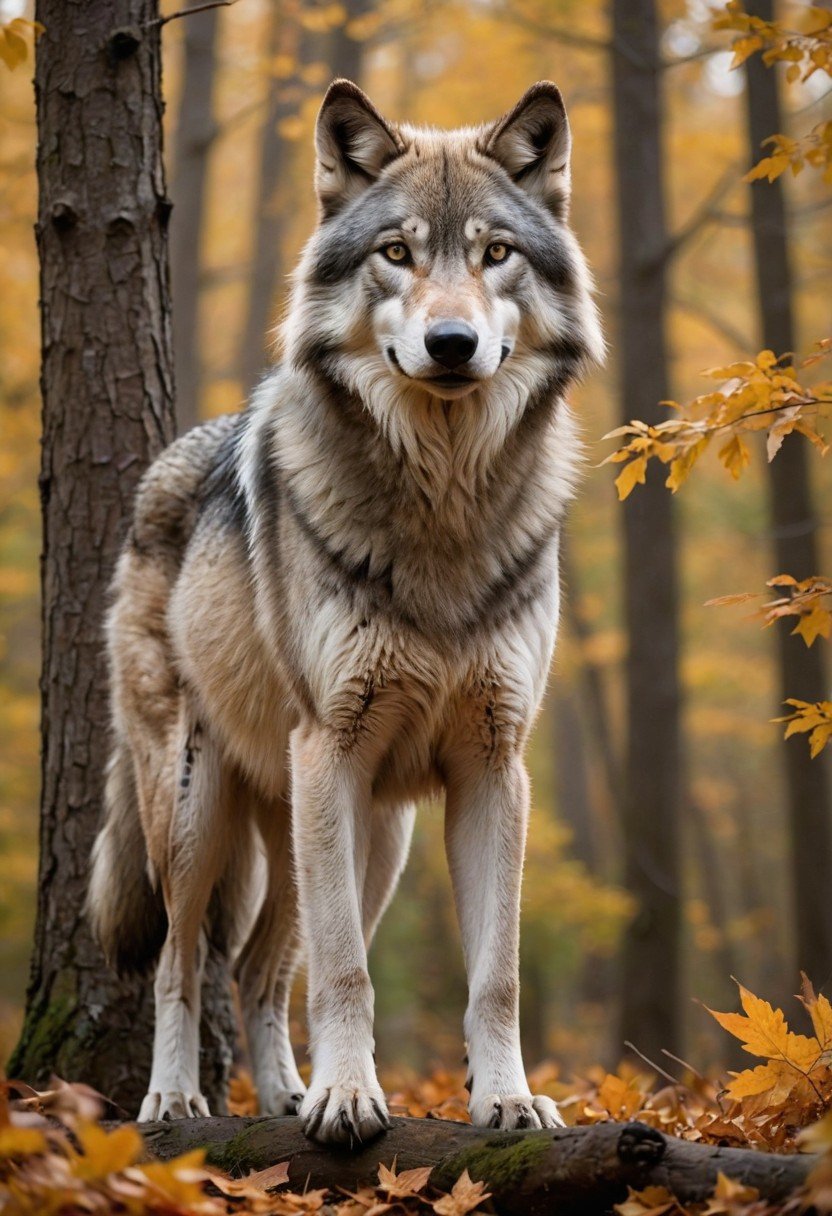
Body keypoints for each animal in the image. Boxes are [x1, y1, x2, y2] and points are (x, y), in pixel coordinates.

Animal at [87, 78, 603, 1145]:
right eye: (396, 252)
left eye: (495, 252)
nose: (451, 344)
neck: (443, 506)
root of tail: (166, 465)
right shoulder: (334, 746)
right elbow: (346, 975)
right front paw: (351, 1099)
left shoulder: (494, 767)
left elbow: (495, 976)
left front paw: (506, 1099)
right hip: (204, 812)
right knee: (183, 962)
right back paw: (177, 1100)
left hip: (368, 837)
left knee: (259, 967)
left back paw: (283, 1093)